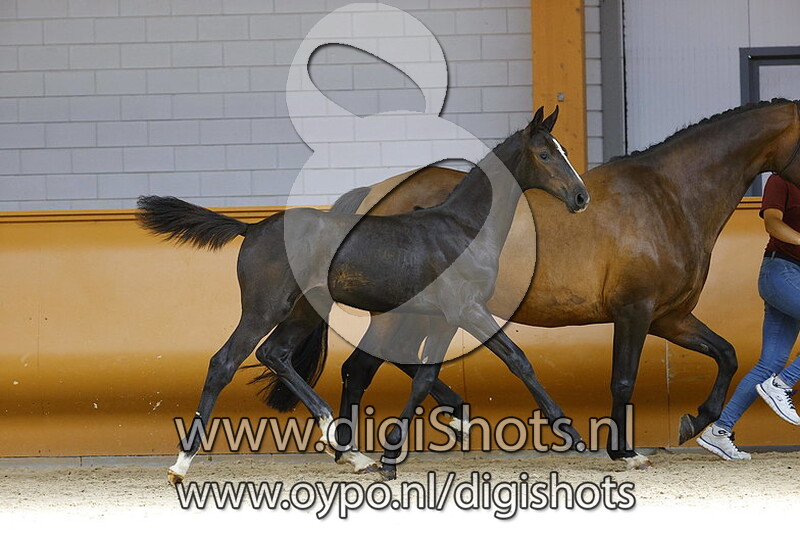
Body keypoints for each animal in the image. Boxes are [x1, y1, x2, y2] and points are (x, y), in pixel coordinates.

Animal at [137, 107, 590, 484]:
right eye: (545, 154)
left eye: (564, 150)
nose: (581, 197)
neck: (463, 228)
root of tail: (252, 228)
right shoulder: (468, 309)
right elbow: (518, 360)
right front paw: (574, 435)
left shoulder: (446, 317)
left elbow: (425, 377)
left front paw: (391, 457)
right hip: (264, 309)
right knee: (224, 362)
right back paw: (181, 465)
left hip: (303, 312)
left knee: (274, 354)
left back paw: (352, 451)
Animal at [252, 98, 800, 471]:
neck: (667, 196)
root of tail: (371, 193)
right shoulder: (636, 311)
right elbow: (623, 378)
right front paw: (622, 451)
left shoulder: (671, 317)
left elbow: (727, 354)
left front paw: (697, 421)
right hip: (406, 312)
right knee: (364, 368)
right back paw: (365, 446)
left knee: (368, 368)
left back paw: (365, 446)